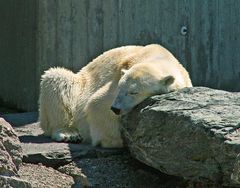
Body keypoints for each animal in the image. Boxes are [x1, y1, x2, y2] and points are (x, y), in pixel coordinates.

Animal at [39, 44, 193, 148]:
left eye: (134, 92)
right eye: (120, 88)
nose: (116, 109)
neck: (160, 57)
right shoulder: (117, 79)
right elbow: (97, 103)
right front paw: (114, 140)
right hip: (79, 84)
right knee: (56, 78)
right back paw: (68, 133)